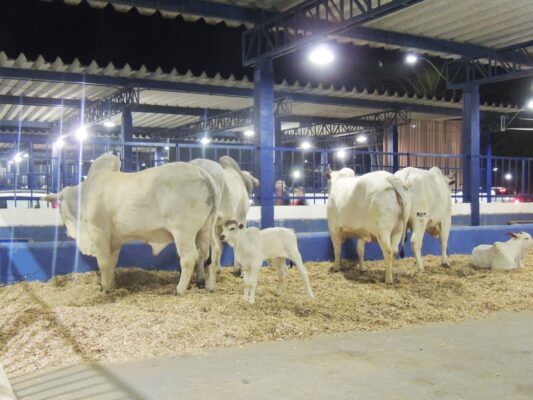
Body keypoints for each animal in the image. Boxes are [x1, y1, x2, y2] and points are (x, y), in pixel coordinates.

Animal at [43, 155, 220, 296]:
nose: (66, 232)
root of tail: (200, 172)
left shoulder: (98, 232)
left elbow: (103, 262)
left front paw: (104, 288)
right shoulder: (115, 240)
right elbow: (112, 263)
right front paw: (111, 285)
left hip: (183, 231)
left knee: (189, 257)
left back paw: (179, 290)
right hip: (206, 228)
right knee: (208, 253)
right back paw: (206, 284)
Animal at [189, 155, 260, 284]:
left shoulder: (219, 225)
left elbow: (221, 246)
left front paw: (218, 269)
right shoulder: (241, 218)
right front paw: (237, 270)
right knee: (205, 249)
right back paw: (201, 280)